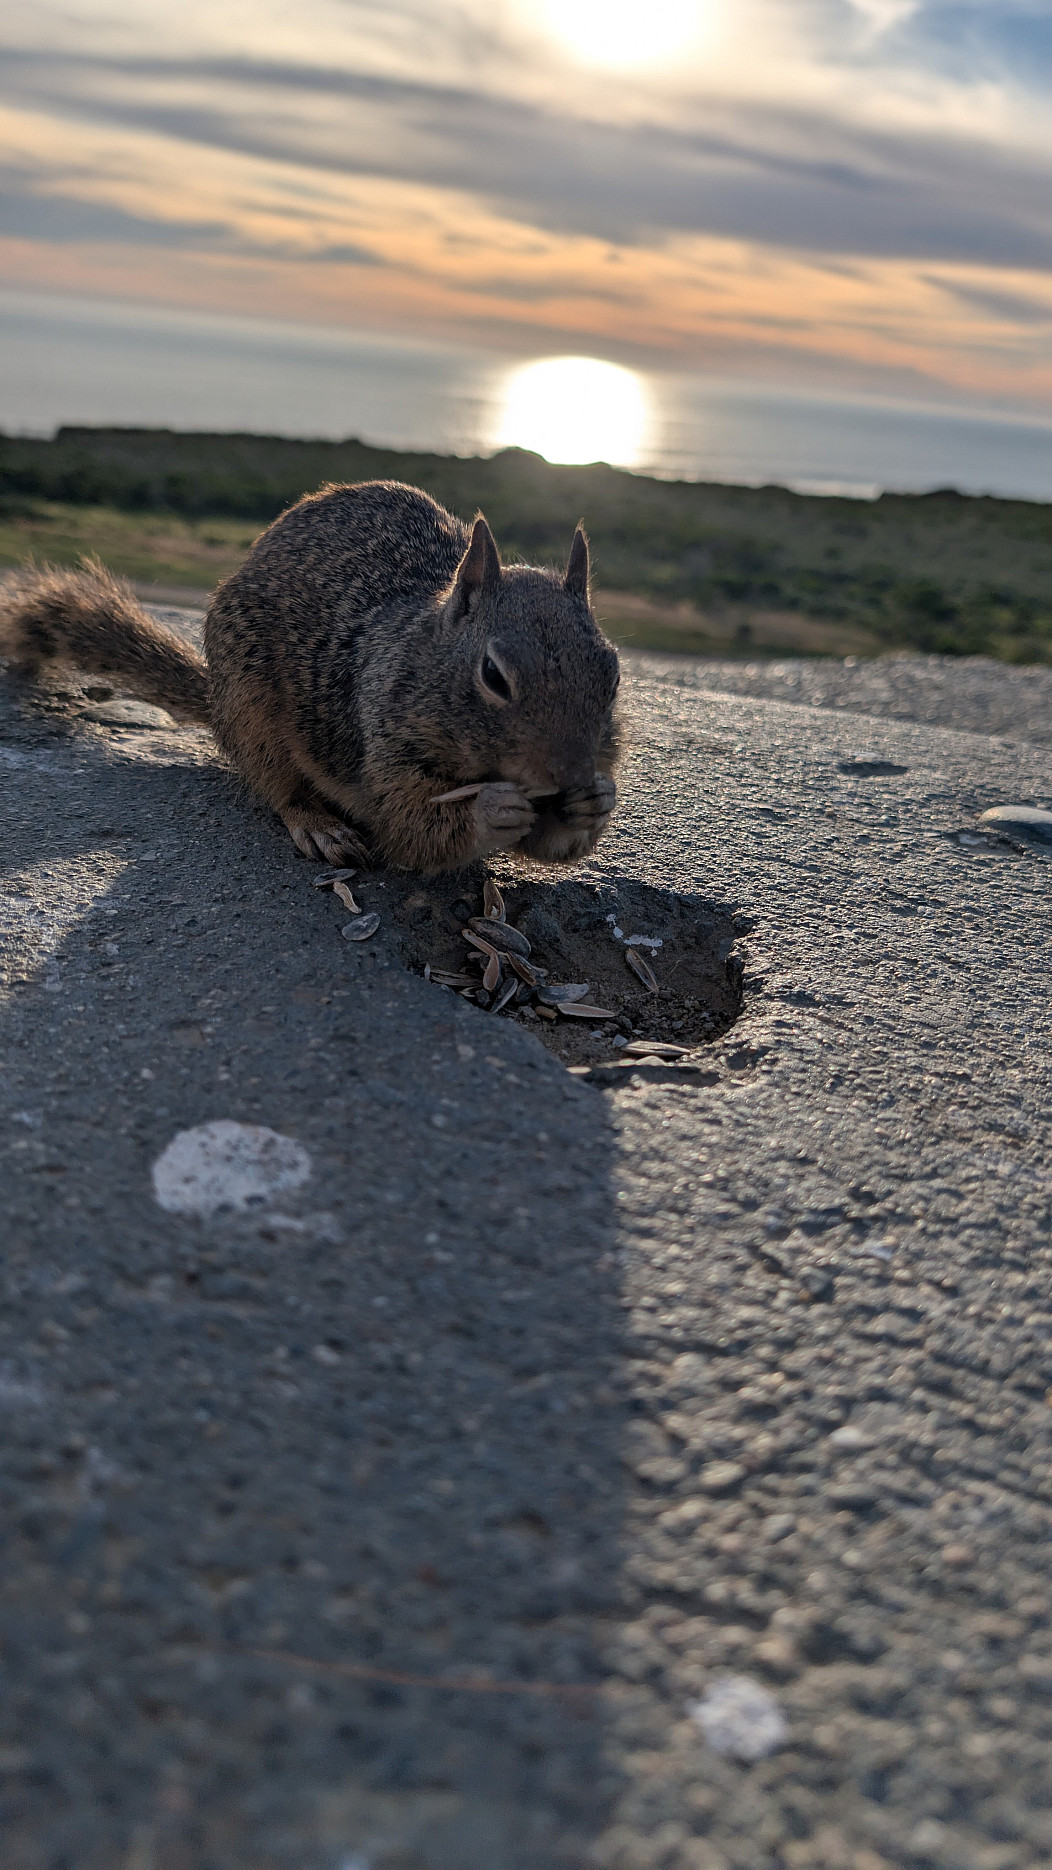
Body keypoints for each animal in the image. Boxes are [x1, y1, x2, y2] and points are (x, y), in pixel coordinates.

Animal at [0, 480, 622, 873]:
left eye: (613, 674)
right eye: (493, 675)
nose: (568, 776)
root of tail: (216, 700)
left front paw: (595, 802)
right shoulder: (381, 745)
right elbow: (408, 829)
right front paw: (491, 810)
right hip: (252, 712)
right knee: (278, 786)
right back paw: (320, 826)